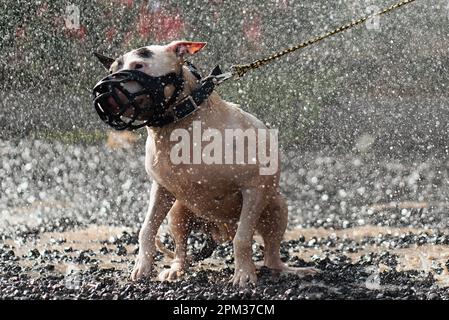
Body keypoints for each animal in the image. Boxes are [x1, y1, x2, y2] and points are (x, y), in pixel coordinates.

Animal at [94, 40, 316, 288]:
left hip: (277, 206)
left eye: (139, 65)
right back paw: (176, 269)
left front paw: (243, 274)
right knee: (181, 249)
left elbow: (242, 238)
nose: (102, 90)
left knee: (270, 256)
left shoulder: (255, 188)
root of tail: (220, 231)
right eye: (111, 71)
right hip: (178, 212)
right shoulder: (161, 190)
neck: (180, 122)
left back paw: (292, 270)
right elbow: (146, 228)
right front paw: (142, 266)